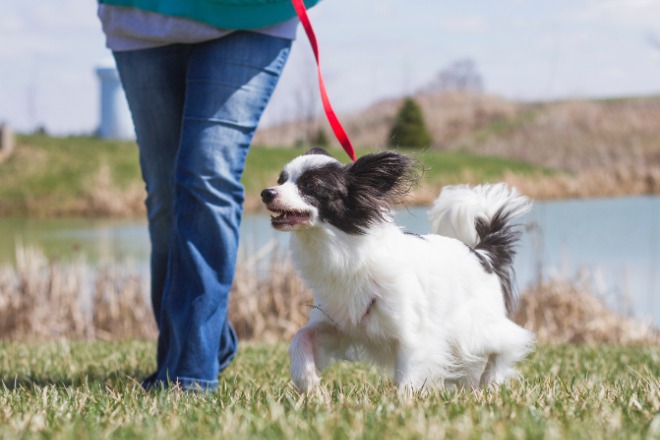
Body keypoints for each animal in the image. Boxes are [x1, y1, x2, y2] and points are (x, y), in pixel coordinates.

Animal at [260, 148, 532, 392]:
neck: (341, 247)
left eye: (310, 185)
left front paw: (402, 404)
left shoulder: (413, 335)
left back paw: (491, 380)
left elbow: (406, 379)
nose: (266, 193)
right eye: (281, 180)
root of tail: (482, 253)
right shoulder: (339, 325)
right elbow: (301, 336)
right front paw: (307, 381)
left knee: (511, 339)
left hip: (473, 330)